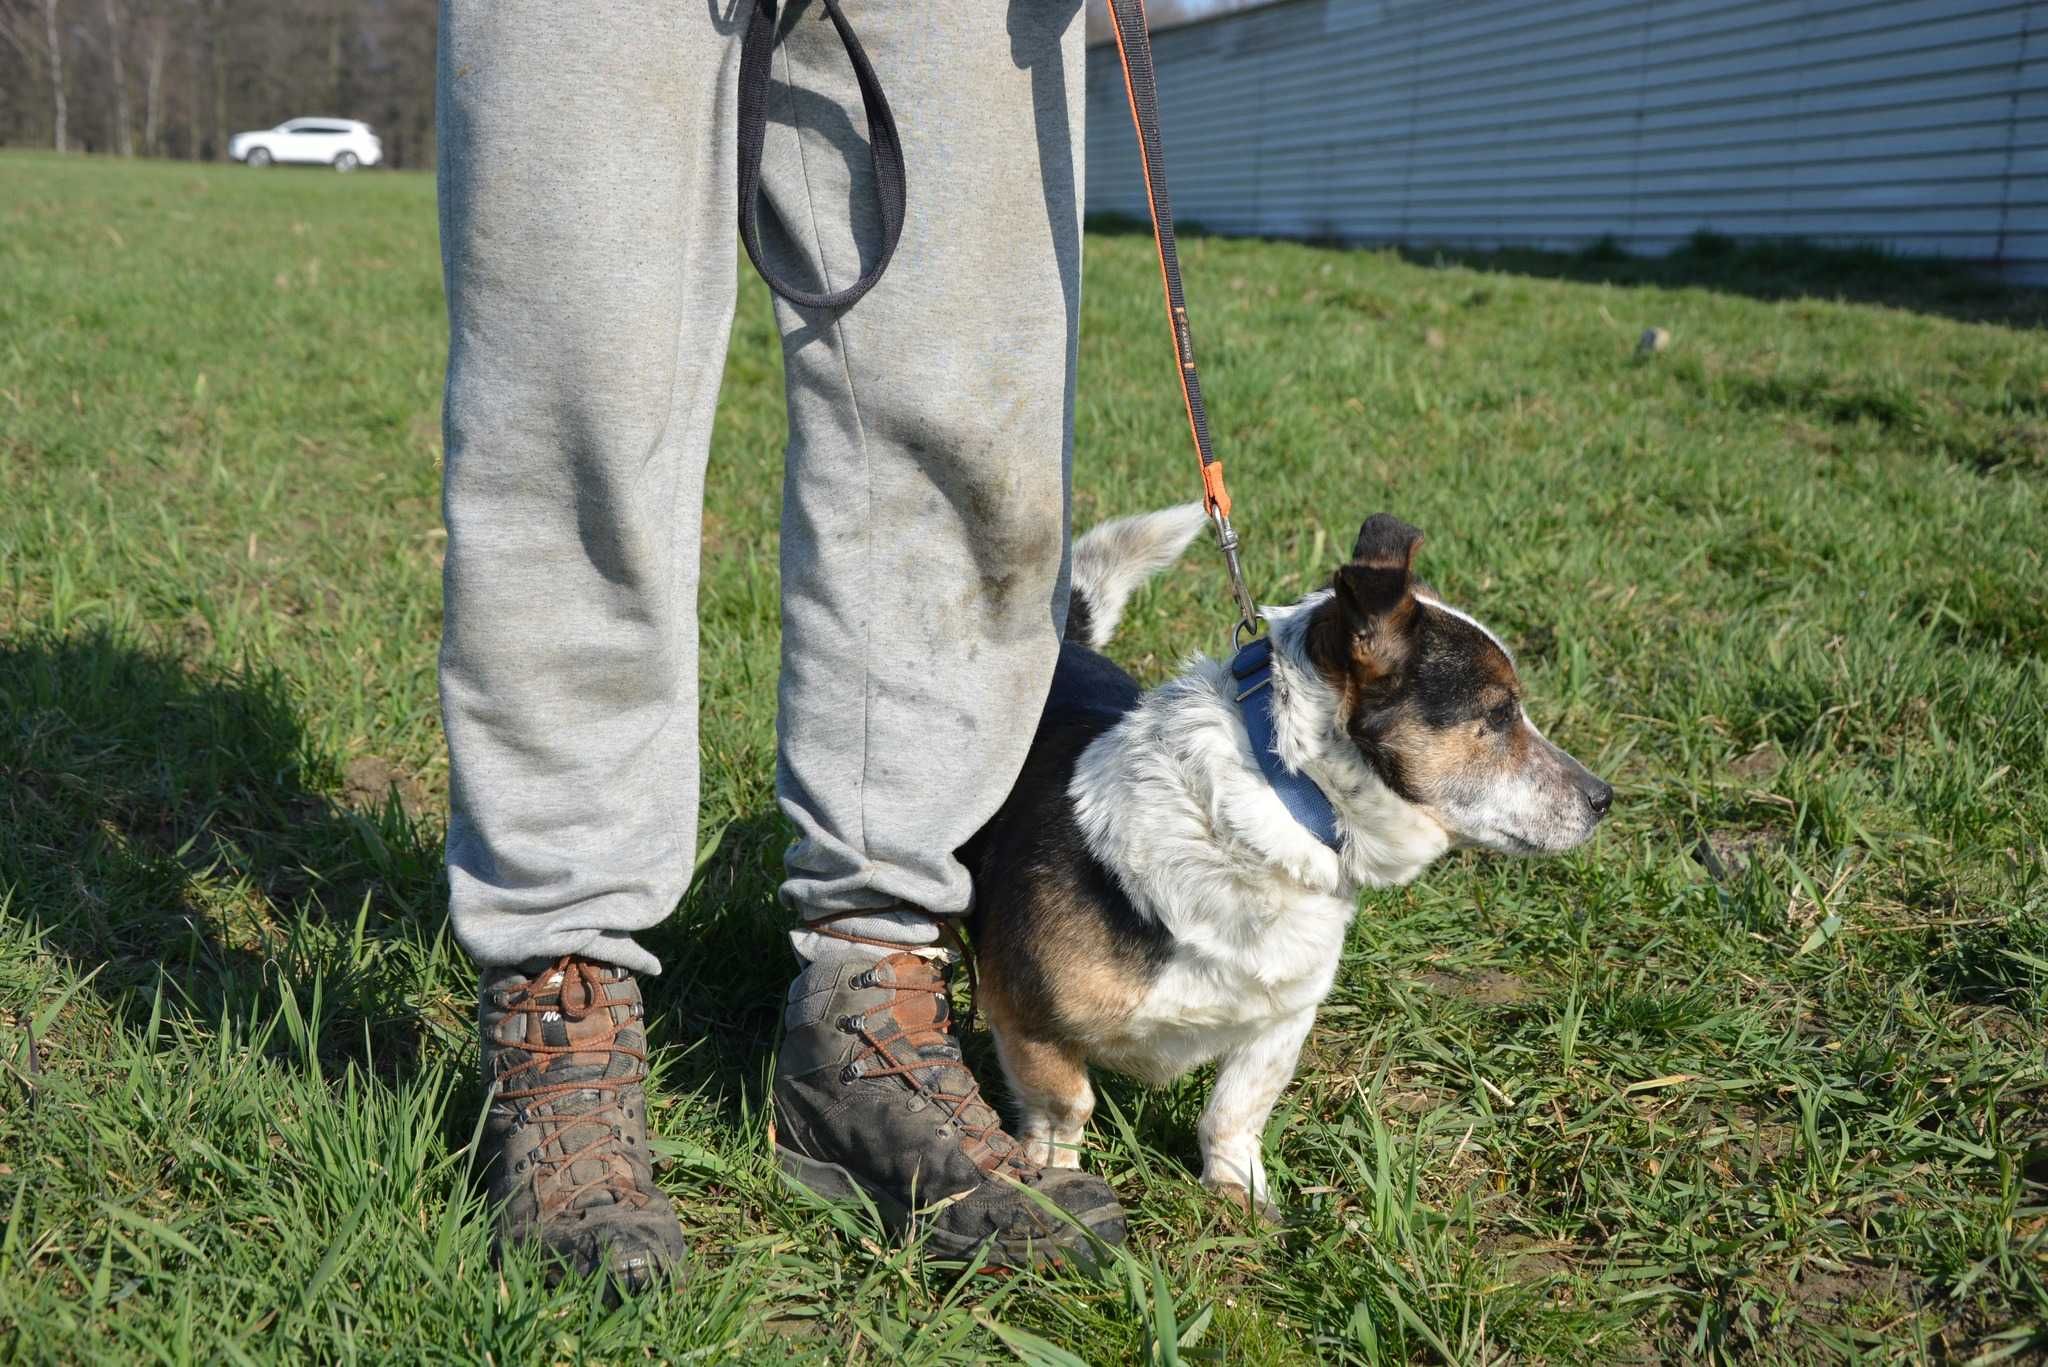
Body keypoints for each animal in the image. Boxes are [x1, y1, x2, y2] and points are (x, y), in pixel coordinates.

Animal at [966, 508, 1605, 1221]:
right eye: (1498, 714)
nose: (1604, 799)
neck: (1282, 806)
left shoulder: (1281, 1019)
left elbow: (1233, 1112)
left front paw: (1239, 1198)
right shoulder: (1024, 1013)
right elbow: (1065, 1107)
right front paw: (1052, 1182)